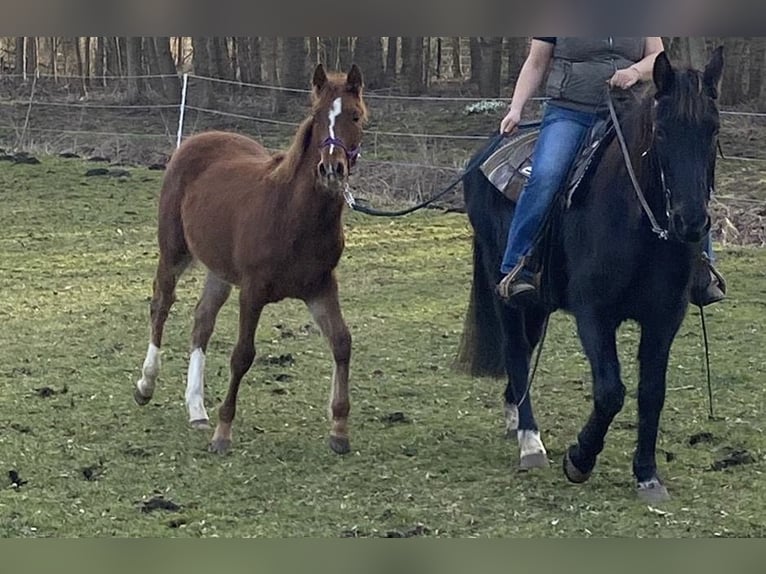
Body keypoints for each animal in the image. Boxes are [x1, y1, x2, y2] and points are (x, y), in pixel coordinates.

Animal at [134, 63, 367, 456]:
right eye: (318, 115)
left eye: (355, 115)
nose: (331, 170)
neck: (292, 215)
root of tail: (197, 140)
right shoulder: (253, 291)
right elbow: (243, 354)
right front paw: (223, 433)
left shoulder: (321, 288)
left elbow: (342, 342)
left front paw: (339, 429)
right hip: (174, 252)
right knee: (161, 304)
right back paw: (146, 385)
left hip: (219, 271)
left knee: (202, 321)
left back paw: (197, 409)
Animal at [457, 48, 724, 502]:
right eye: (662, 130)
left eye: (713, 127)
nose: (691, 221)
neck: (640, 226)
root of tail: (483, 156)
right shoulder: (594, 314)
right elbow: (611, 391)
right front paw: (579, 459)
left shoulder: (664, 319)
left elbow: (651, 393)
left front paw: (647, 474)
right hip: (502, 284)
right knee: (515, 349)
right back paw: (530, 439)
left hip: (538, 301)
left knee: (526, 346)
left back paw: (514, 414)